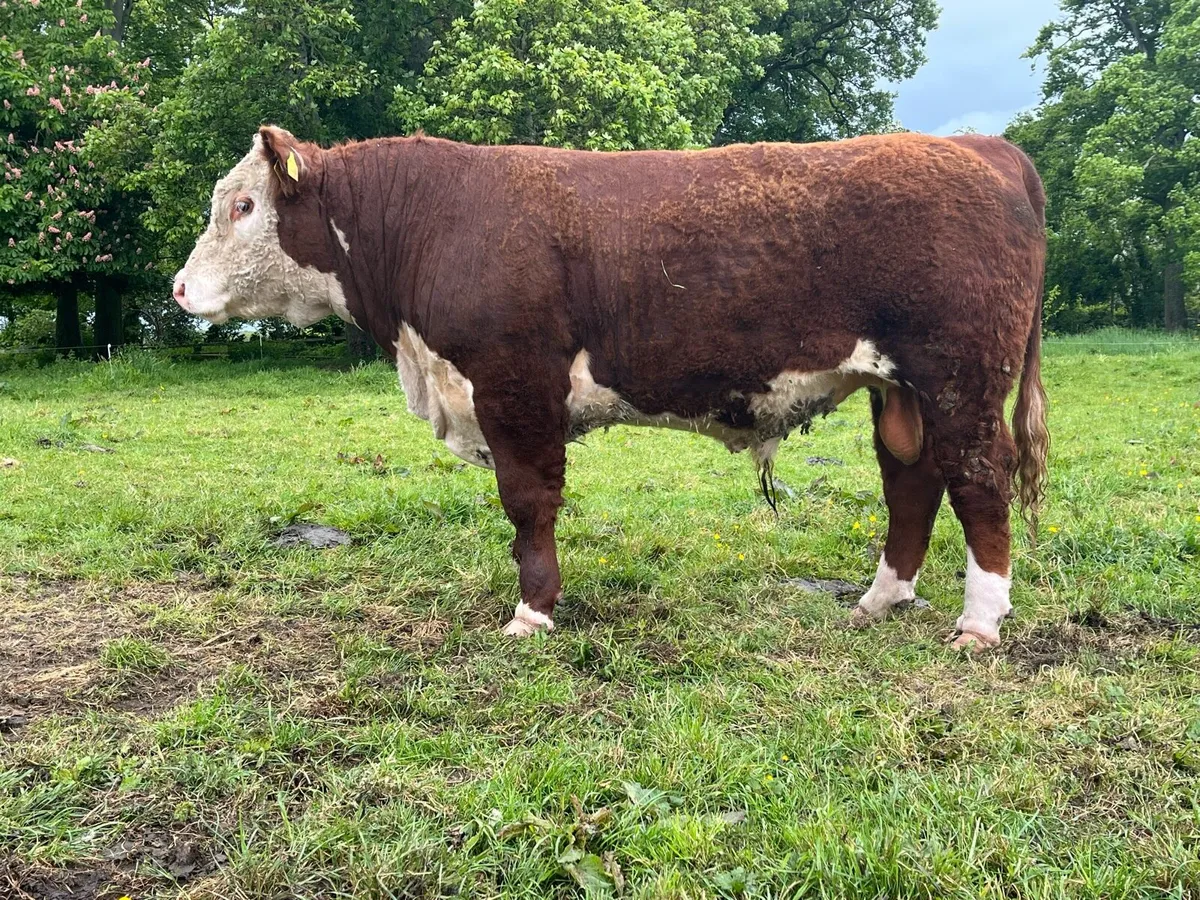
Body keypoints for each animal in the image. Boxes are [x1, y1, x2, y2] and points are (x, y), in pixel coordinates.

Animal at [174, 126, 1048, 650]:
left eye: (242, 205)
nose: (179, 289)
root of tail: (977, 144)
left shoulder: (513, 385)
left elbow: (529, 503)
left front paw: (532, 613)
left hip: (959, 374)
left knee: (978, 478)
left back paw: (980, 624)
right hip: (900, 387)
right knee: (912, 479)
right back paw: (879, 600)